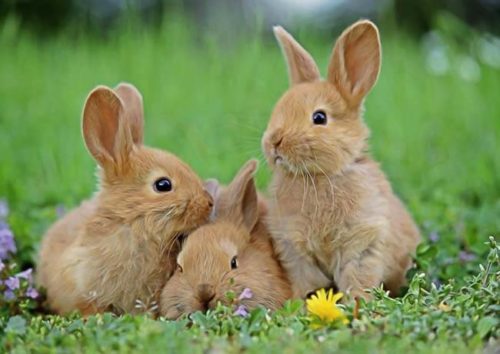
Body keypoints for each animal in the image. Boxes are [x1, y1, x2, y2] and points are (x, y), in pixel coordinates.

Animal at [262, 20, 422, 302]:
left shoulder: (362, 243)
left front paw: (357, 303)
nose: (274, 142)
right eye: (278, 110)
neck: (319, 176)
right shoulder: (294, 250)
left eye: (319, 117)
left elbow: (356, 278)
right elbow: (306, 281)